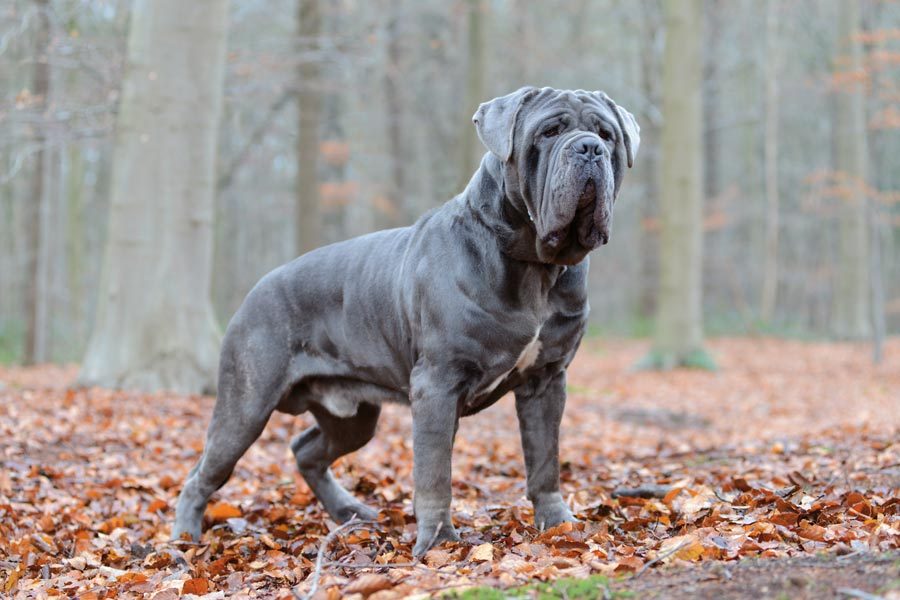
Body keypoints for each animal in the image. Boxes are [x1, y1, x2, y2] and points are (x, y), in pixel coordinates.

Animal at [174, 85, 640, 556]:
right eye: (549, 132)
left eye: (607, 135)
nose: (589, 148)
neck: (535, 266)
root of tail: (253, 292)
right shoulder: (437, 384)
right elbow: (434, 474)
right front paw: (439, 543)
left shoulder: (546, 380)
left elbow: (544, 459)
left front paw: (557, 523)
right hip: (246, 405)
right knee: (203, 472)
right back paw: (184, 537)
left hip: (353, 418)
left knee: (306, 450)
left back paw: (349, 511)